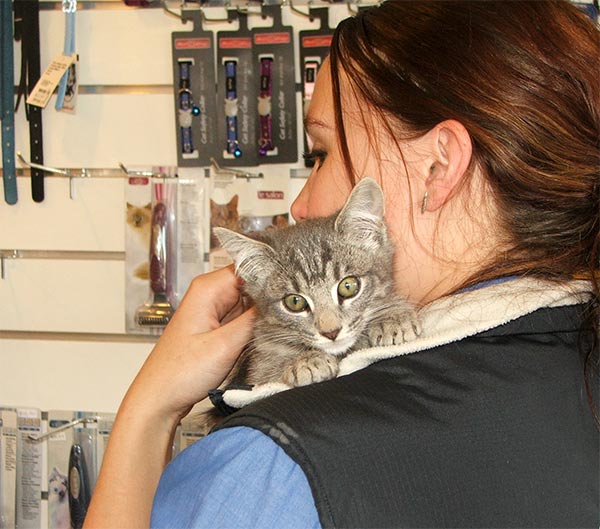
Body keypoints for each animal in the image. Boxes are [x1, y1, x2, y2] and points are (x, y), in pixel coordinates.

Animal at [213, 177, 420, 388]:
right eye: (295, 302)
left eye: (348, 286)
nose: (331, 333)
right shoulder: (260, 358)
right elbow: (268, 370)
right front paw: (305, 361)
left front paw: (392, 315)